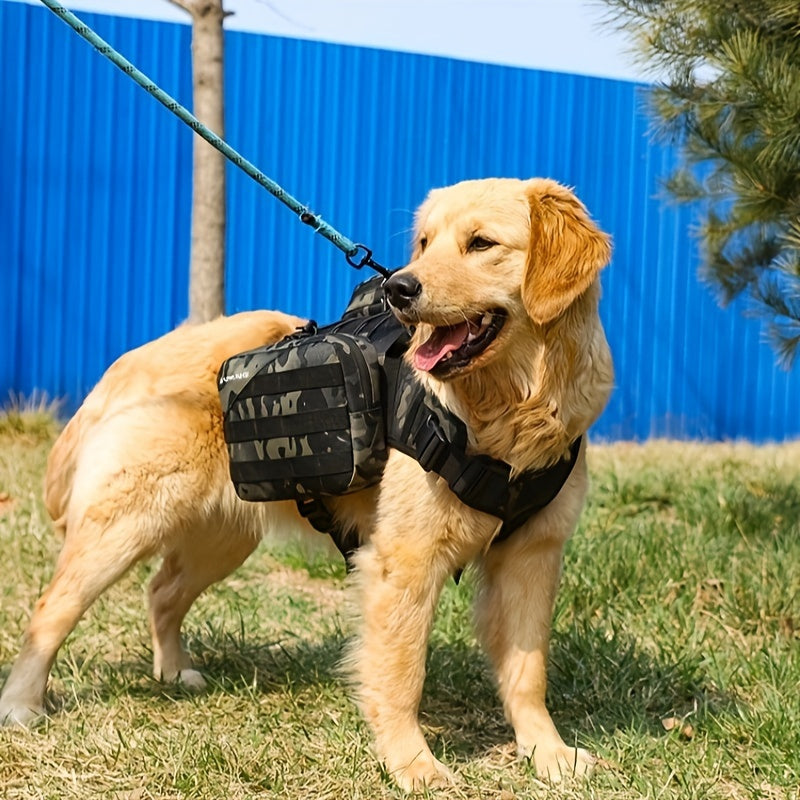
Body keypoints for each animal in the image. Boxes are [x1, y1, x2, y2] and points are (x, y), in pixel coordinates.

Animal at [0, 178, 612, 792]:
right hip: (125, 528)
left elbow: (528, 672)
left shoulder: (533, 556)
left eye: (481, 243)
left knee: (161, 591)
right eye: (424, 243)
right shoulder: (404, 562)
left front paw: (548, 752)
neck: (507, 414)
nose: (399, 287)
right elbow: (402, 674)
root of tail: (130, 362)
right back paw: (22, 704)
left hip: (222, 538)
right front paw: (412, 764)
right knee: (52, 608)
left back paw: (174, 671)